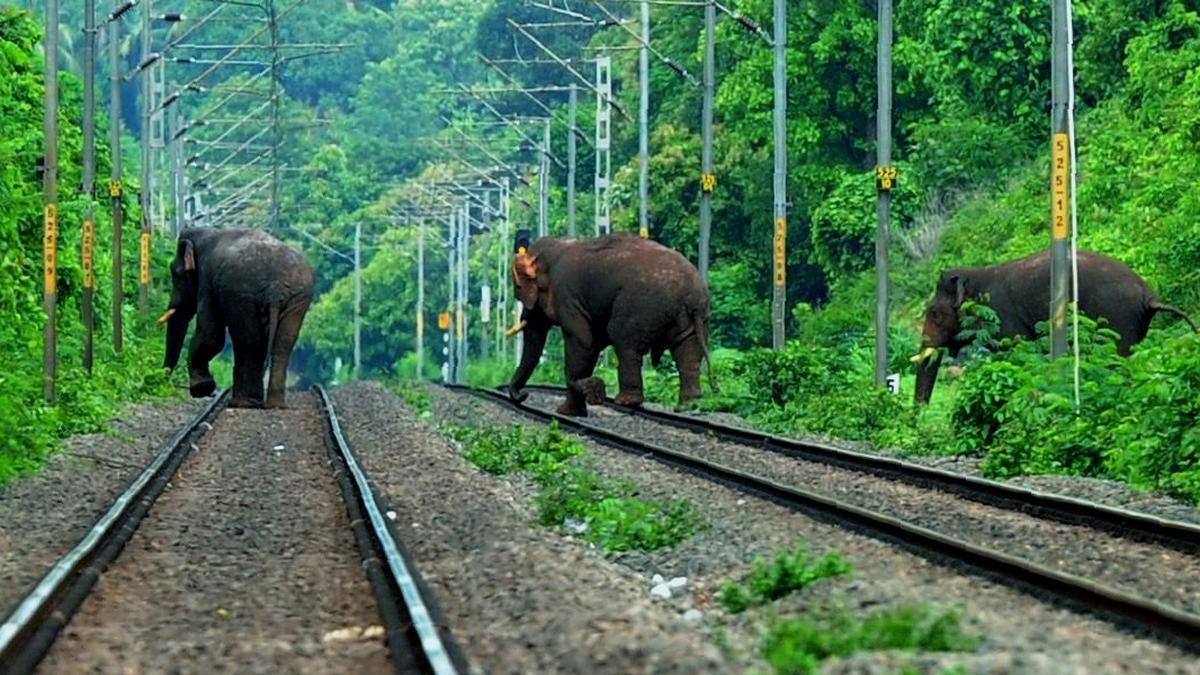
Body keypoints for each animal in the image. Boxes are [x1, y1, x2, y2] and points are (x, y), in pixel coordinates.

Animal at [160, 227, 314, 409]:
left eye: (175, 273)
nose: (164, 381)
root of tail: (275, 287)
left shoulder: (207, 283)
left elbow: (210, 336)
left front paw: (201, 389)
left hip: (242, 295)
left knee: (248, 341)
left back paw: (243, 403)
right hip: (297, 298)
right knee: (282, 343)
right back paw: (271, 405)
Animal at [506, 233, 713, 416]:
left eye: (518, 291)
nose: (523, 395)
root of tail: (694, 293)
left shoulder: (567, 296)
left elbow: (583, 341)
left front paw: (569, 407)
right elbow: (592, 345)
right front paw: (571, 411)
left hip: (640, 307)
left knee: (623, 341)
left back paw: (626, 402)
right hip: (691, 319)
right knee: (687, 353)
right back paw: (688, 405)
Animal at [912, 248, 1197, 403]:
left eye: (935, 314)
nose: (917, 420)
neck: (977, 273)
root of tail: (1149, 294)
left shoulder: (1003, 318)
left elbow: (1014, 353)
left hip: (1117, 317)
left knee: (1117, 361)